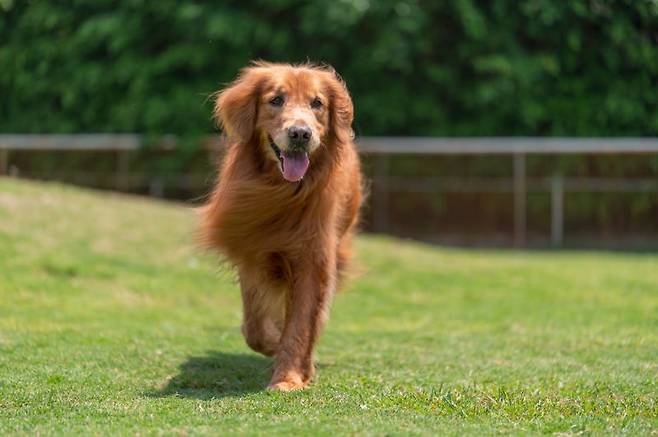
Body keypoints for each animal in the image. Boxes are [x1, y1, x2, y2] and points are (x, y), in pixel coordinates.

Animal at [200, 60, 364, 388]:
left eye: (317, 103)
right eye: (276, 100)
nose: (300, 134)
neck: (282, 192)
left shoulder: (313, 259)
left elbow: (301, 324)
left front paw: (289, 377)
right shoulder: (251, 249)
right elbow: (254, 325)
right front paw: (274, 343)